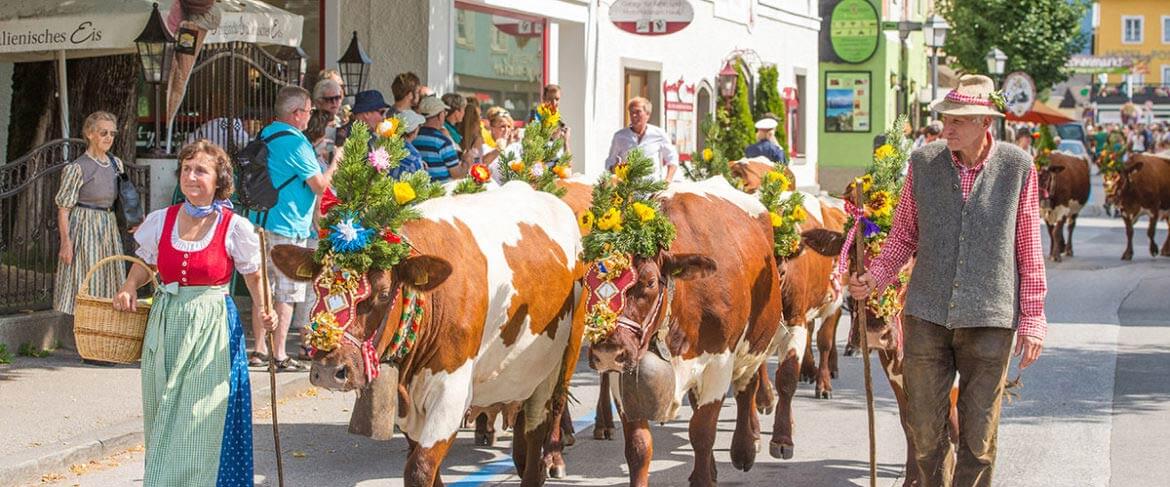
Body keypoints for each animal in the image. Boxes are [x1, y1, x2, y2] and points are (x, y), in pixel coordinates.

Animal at [271, 118, 585, 487]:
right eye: (317, 289)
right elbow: (422, 464)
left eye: (382, 294)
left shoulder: (452, 390)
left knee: (542, 423)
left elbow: (419, 468)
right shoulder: (408, 406)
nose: (327, 370)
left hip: (563, 356)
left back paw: (551, 458)